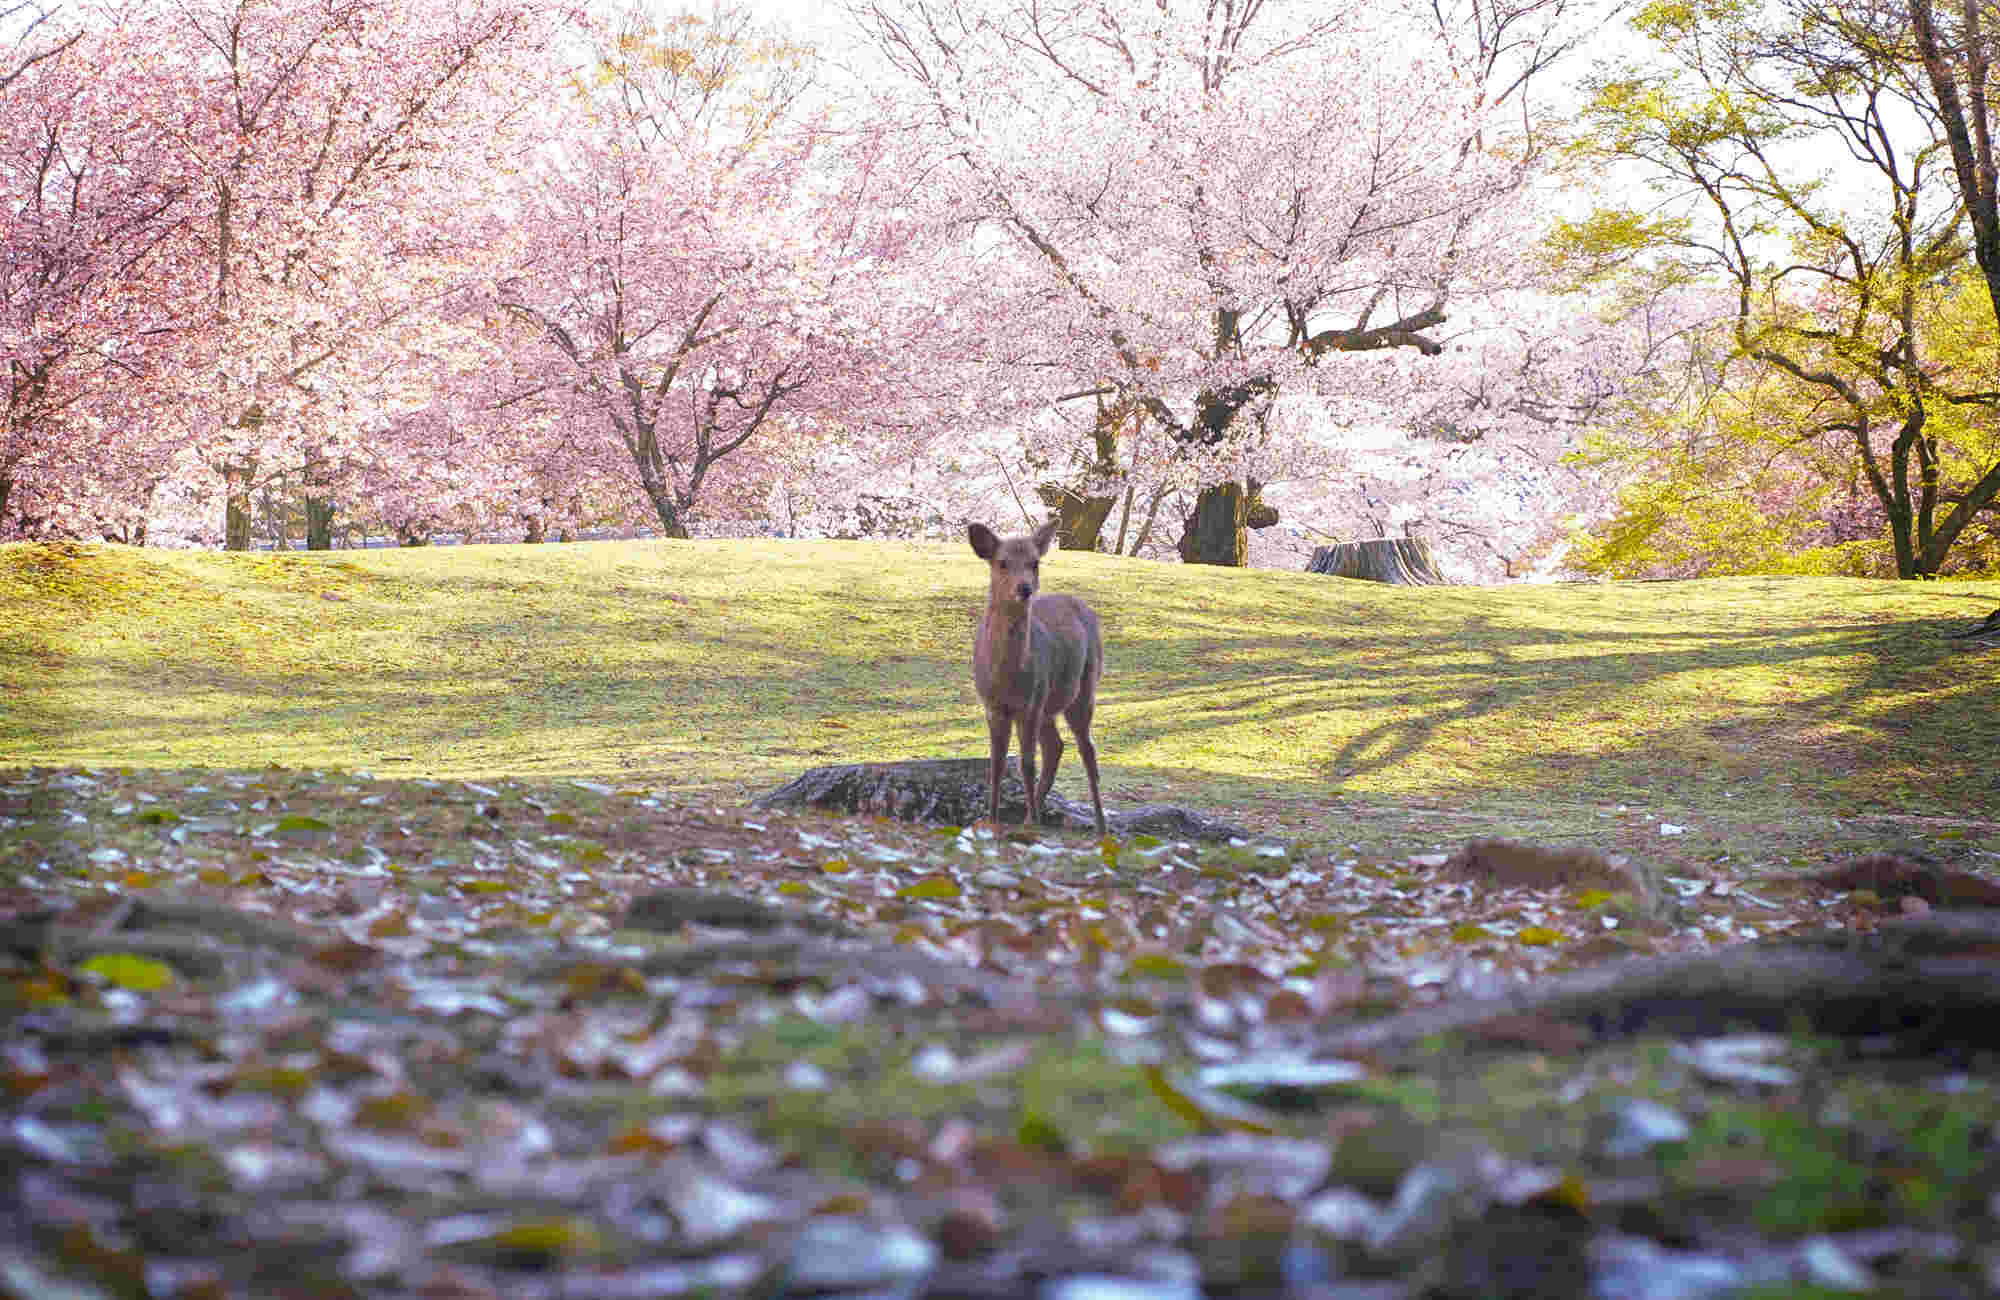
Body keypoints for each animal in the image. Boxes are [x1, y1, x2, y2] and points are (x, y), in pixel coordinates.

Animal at [968, 512, 1112, 832]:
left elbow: (1026, 763)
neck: (1007, 678)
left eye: (1034, 563)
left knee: (1087, 749)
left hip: (1083, 688)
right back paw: (1030, 815)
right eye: (1002, 562)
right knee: (1055, 745)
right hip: (1048, 704)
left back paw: (1099, 824)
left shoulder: (1031, 703)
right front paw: (991, 820)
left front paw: (1031, 821)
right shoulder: (992, 705)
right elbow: (996, 764)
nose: (1024, 588)